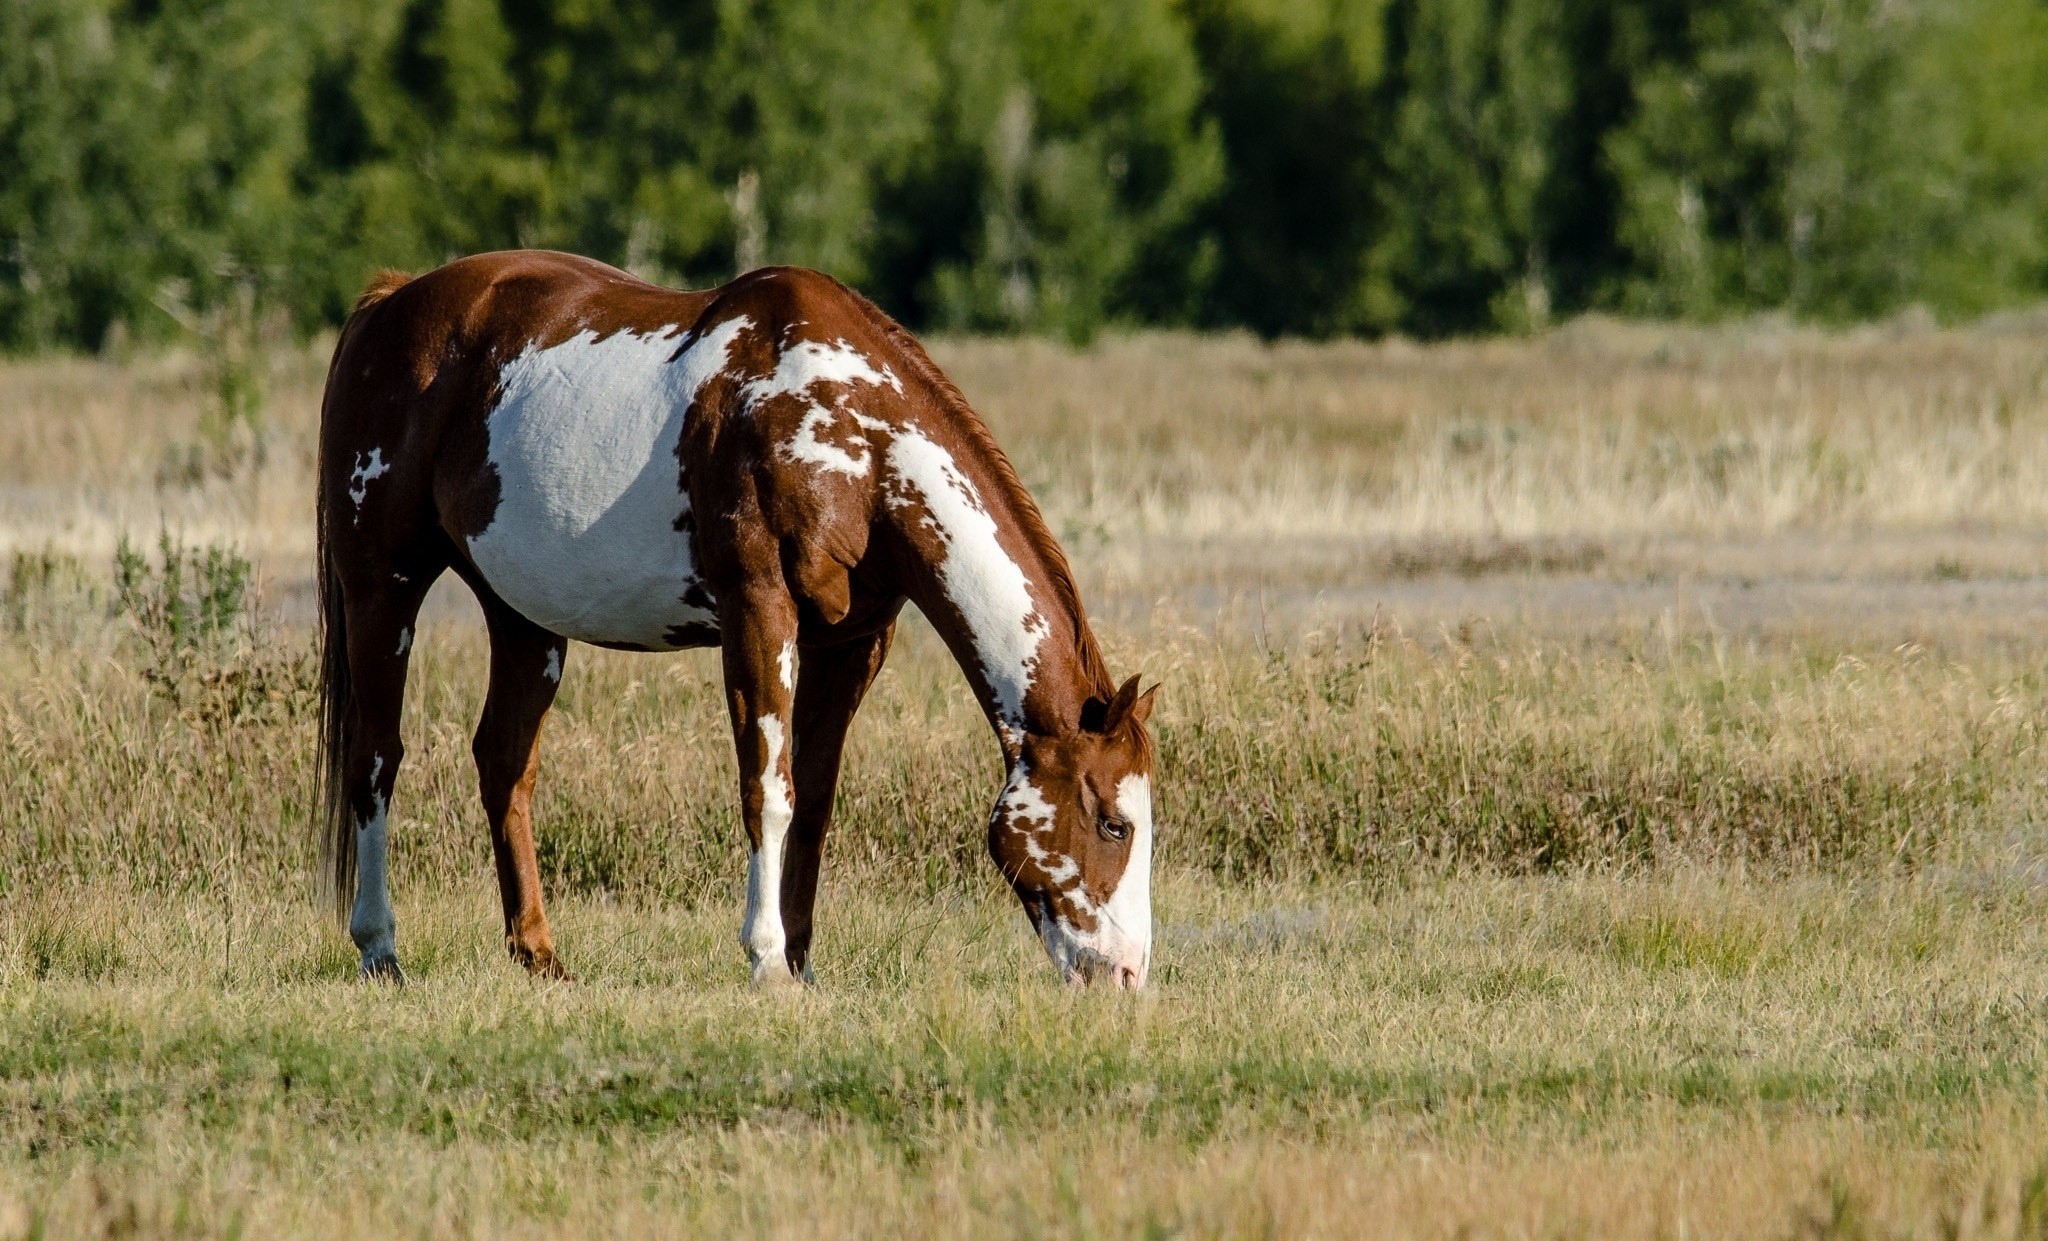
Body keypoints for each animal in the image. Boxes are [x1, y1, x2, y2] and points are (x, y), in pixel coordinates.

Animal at [311, 250, 1163, 991]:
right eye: (1114, 823)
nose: (1126, 973)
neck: (856, 438)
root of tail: (391, 301)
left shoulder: (854, 641)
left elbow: (813, 800)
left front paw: (803, 963)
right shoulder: (759, 610)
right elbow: (767, 789)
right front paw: (765, 959)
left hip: (522, 616)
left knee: (504, 762)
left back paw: (539, 953)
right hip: (382, 588)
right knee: (376, 758)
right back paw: (380, 949)